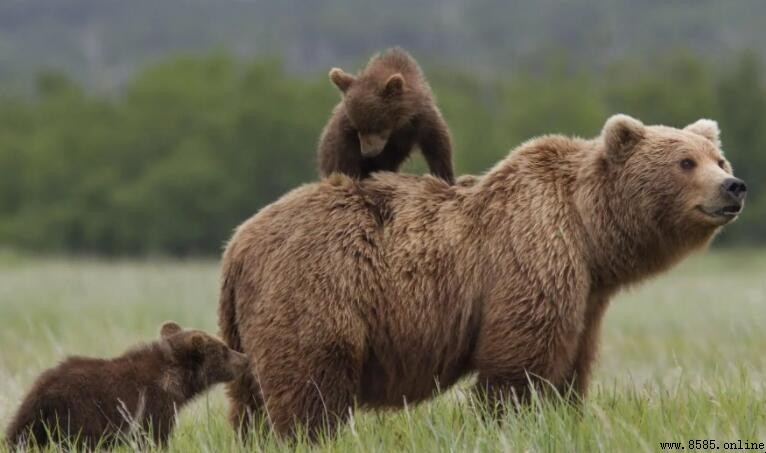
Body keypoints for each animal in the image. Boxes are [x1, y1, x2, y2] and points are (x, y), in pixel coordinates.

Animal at [5, 322, 250, 449]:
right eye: (224, 349)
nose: (244, 358)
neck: (178, 381)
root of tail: (41, 393)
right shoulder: (152, 404)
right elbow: (155, 437)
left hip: (29, 415)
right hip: (76, 412)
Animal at [219, 114, 745, 440]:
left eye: (718, 159)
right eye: (685, 162)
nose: (733, 186)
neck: (590, 235)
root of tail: (237, 243)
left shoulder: (587, 296)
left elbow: (572, 366)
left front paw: (565, 416)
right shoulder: (531, 256)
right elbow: (518, 363)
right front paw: (507, 422)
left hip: (248, 323)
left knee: (250, 399)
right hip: (317, 288)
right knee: (311, 387)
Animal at [317, 47, 455, 184]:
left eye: (376, 126)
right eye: (358, 127)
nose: (367, 153)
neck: (398, 126)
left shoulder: (421, 118)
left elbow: (437, 143)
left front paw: (444, 176)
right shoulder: (346, 128)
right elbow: (345, 154)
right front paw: (349, 176)